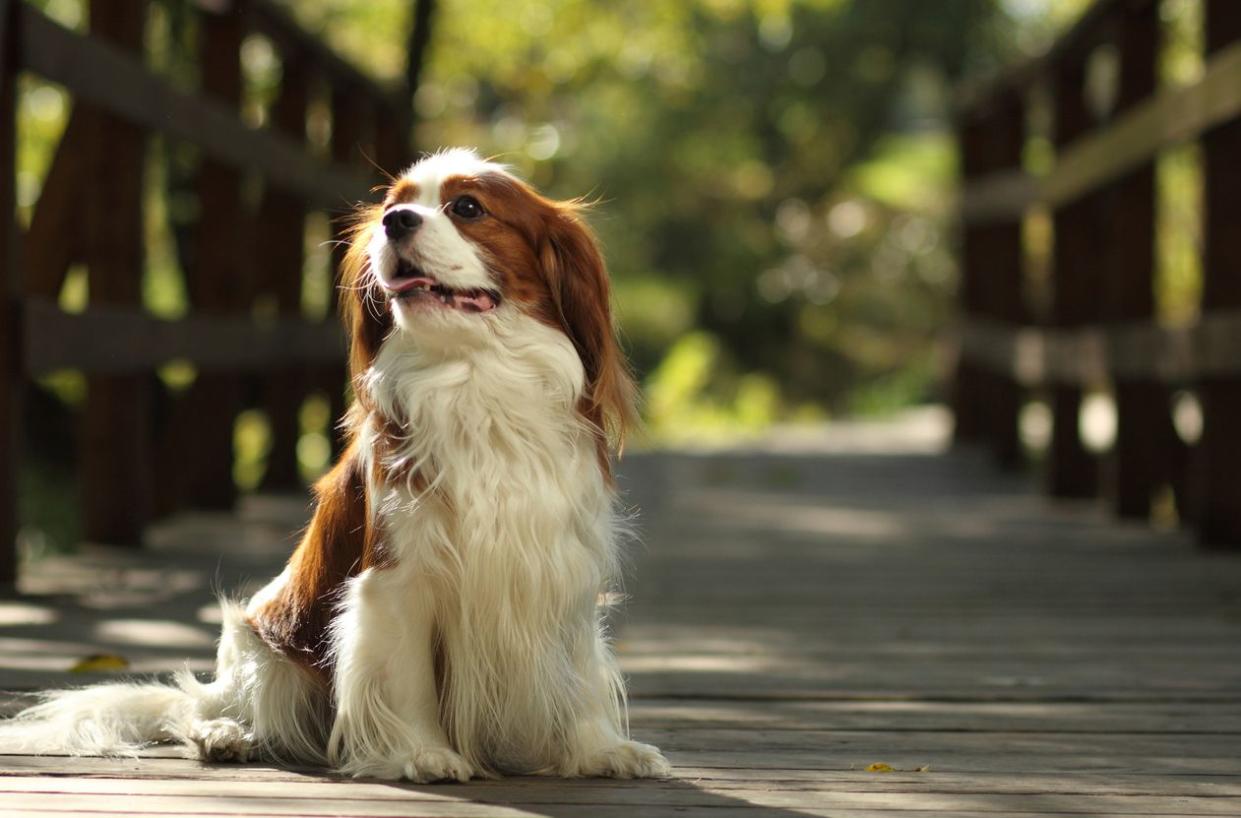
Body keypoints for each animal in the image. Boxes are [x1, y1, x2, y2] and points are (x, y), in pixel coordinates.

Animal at [0, 150, 675, 784]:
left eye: (467, 208)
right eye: (394, 206)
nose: (395, 222)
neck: (475, 376)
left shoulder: (561, 571)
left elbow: (578, 675)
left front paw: (599, 750)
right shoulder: (397, 579)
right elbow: (406, 679)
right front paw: (424, 753)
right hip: (264, 652)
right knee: (198, 707)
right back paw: (224, 735)